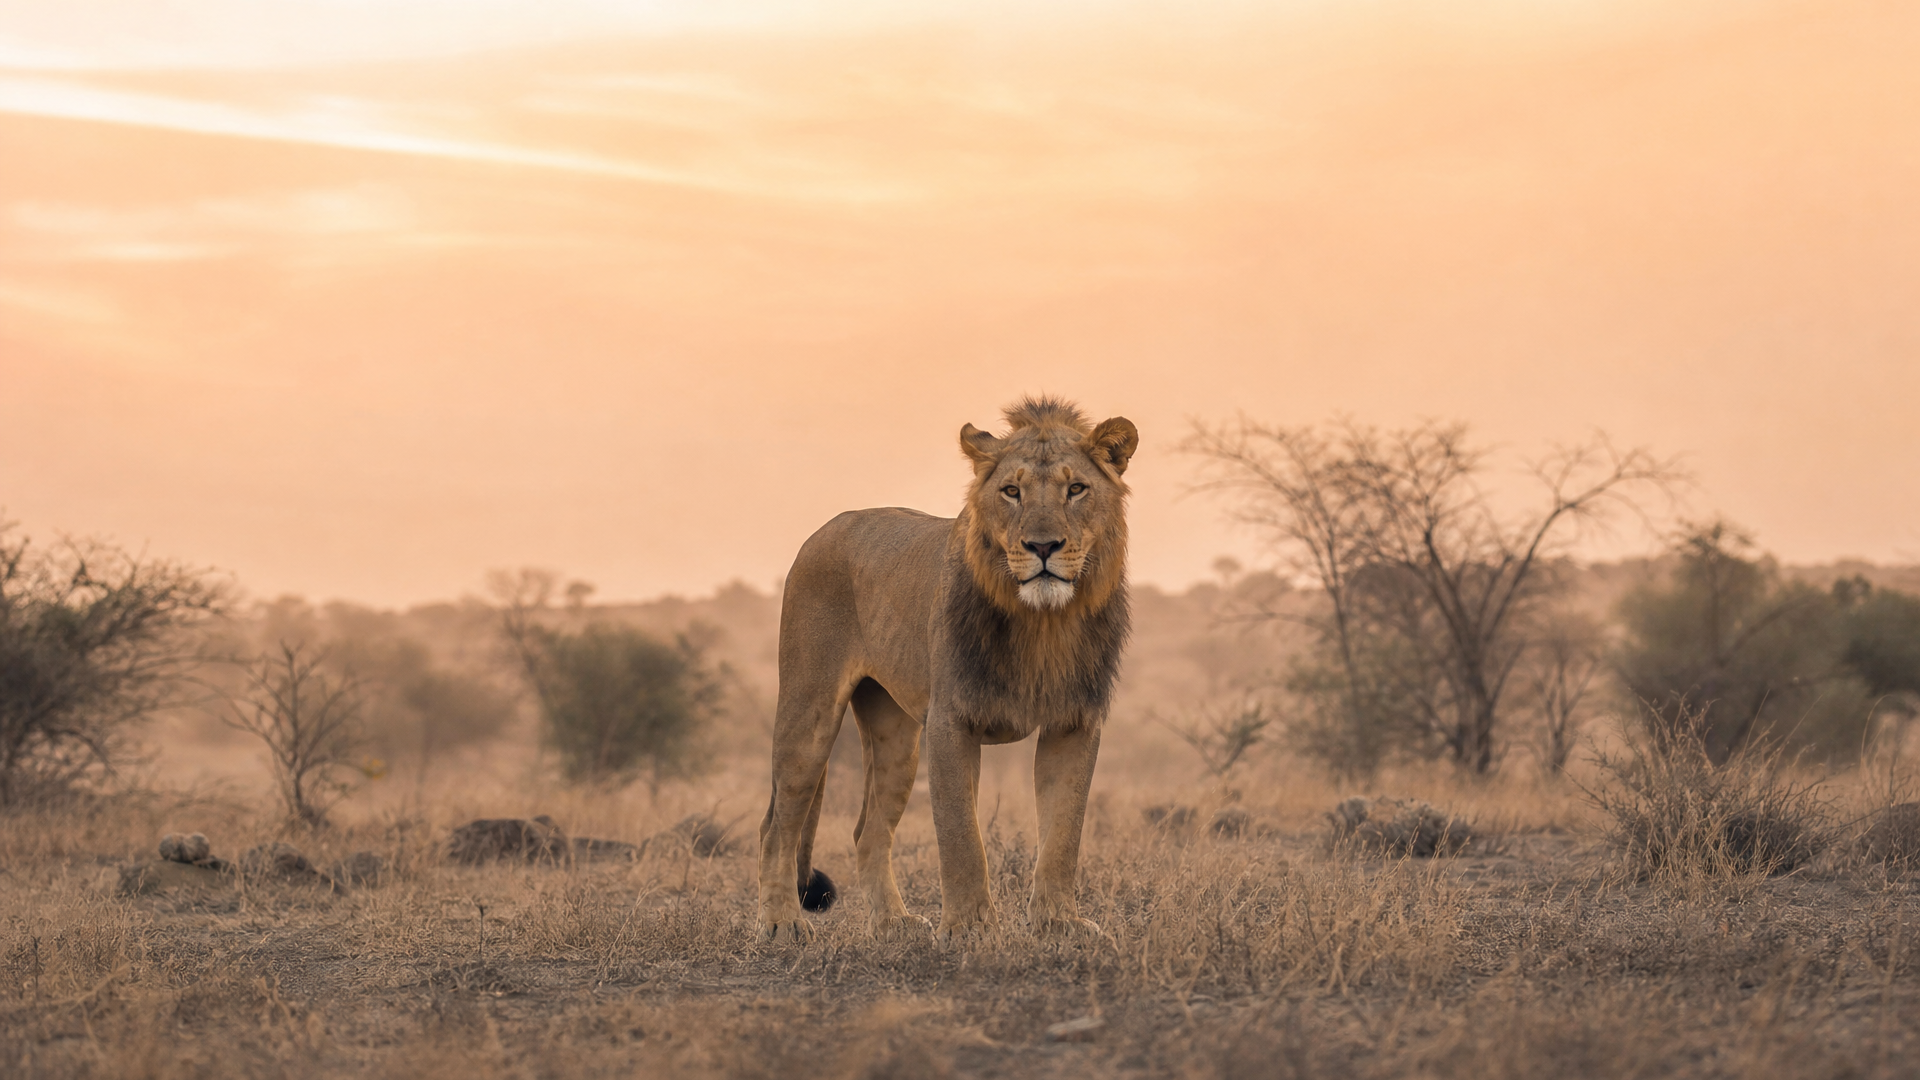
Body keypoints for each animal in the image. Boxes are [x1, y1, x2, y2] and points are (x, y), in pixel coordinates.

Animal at [756, 396, 1138, 945]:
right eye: (1012, 491)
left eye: (1076, 489)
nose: (1043, 546)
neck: (1043, 621)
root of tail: (828, 527)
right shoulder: (951, 720)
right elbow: (961, 835)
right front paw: (968, 928)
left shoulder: (1074, 722)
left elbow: (1064, 833)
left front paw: (1059, 922)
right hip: (809, 711)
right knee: (778, 825)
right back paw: (782, 922)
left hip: (896, 737)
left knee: (867, 831)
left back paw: (892, 922)